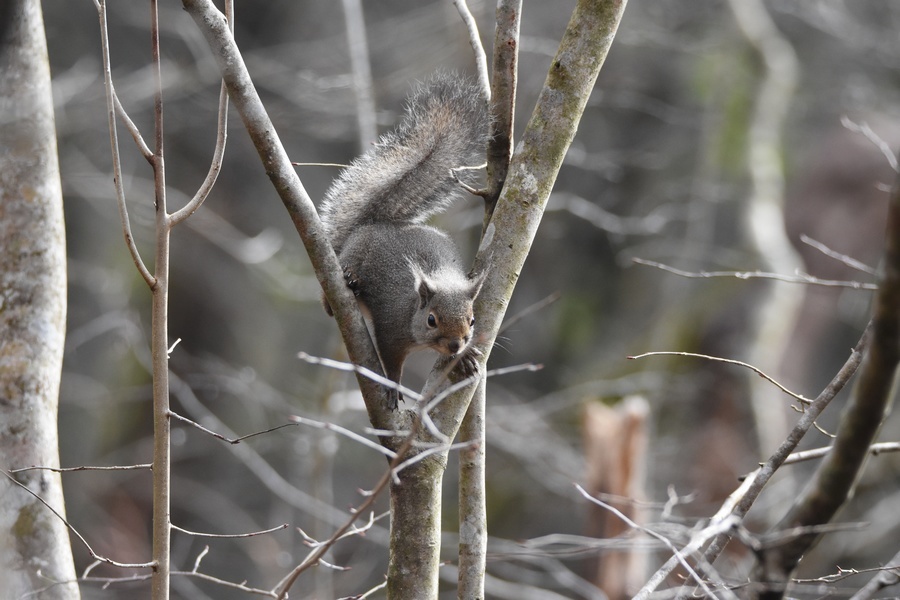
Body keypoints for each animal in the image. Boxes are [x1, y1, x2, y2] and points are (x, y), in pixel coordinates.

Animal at [322, 70, 492, 408]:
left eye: (472, 320)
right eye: (431, 320)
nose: (455, 346)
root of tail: (377, 224)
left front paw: (465, 358)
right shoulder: (391, 330)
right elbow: (391, 362)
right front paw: (392, 387)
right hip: (349, 257)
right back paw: (345, 286)